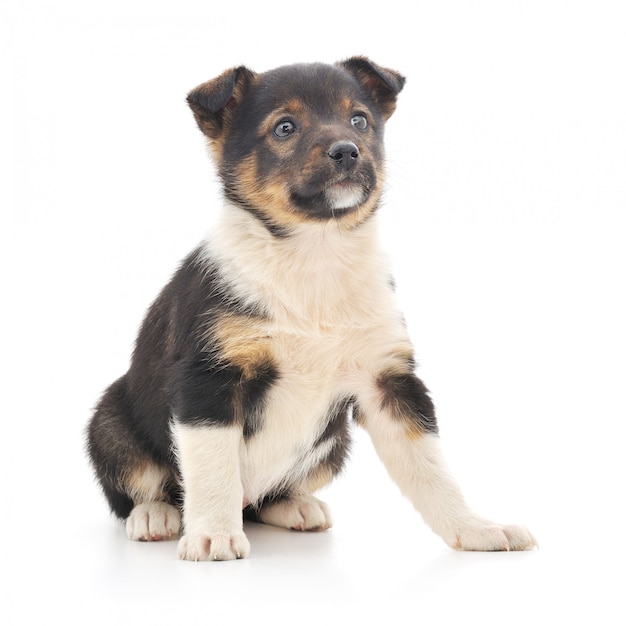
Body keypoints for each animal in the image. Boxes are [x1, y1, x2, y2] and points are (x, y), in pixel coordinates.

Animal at [85, 56, 532, 560]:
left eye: (359, 120)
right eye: (285, 127)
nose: (347, 152)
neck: (315, 253)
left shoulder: (387, 379)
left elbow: (432, 469)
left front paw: (476, 528)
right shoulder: (208, 380)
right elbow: (214, 470)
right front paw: (214, 534)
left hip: (335, 443)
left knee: (264, 500)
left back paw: (294, 506)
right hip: (108, 422)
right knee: (144, 488)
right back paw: (155, 516)